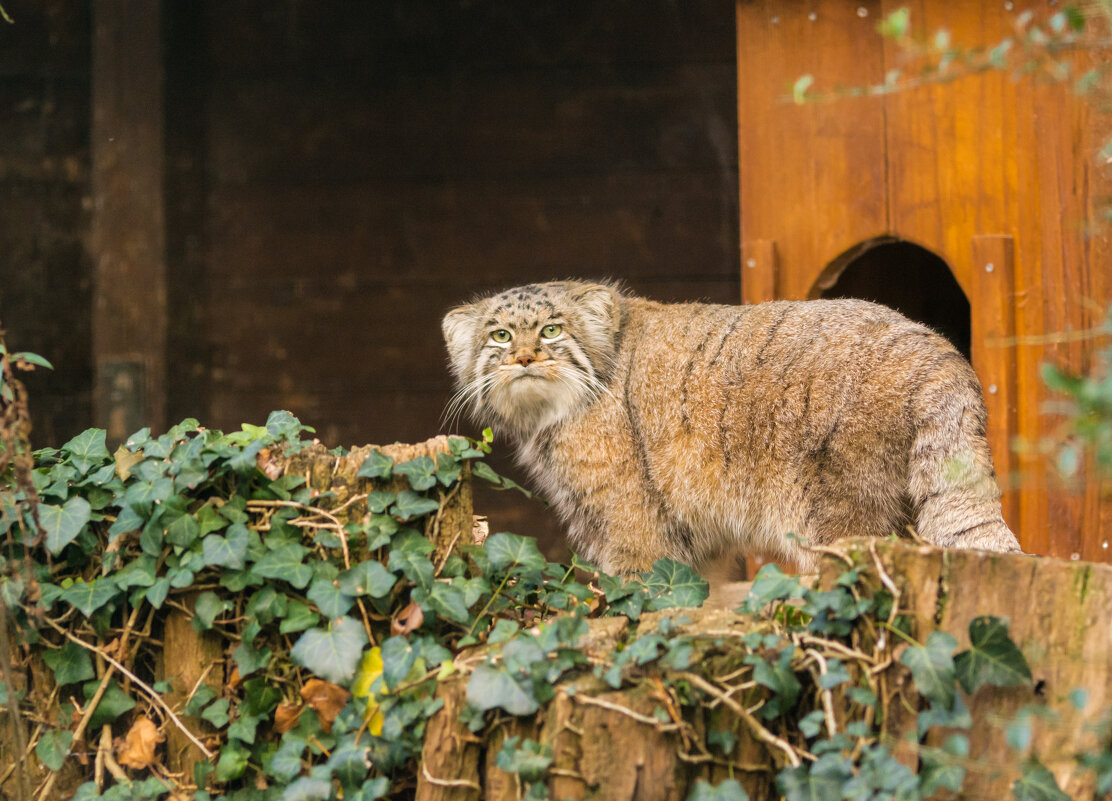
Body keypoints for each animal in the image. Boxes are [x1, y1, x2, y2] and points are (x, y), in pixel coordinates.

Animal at [438, 278, 1018, 574]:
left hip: (840, 514)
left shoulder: (631, 525)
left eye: (552, 331)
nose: (524, 358)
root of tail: (938, 352)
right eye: (499, 336)